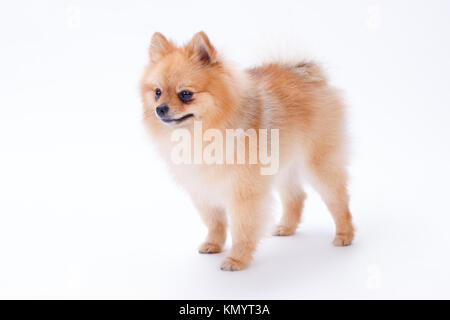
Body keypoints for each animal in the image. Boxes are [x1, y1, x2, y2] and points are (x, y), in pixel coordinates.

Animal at [141, 31, 356, 270]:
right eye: (157, 92)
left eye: (186, 94)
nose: (160, 109)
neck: (201, 134)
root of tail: (312, 76)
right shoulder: (203, 188)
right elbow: (214, 221)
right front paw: (213, 244)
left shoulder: (243, 191)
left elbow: (243, 228)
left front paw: (237, 259)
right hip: (283, 166)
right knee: (296, 197)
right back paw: (286, 227)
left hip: (319, 164)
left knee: (338, 199)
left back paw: (345, 234)